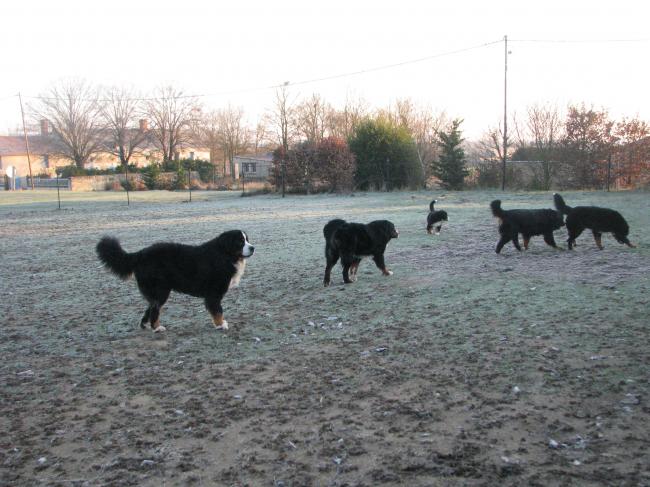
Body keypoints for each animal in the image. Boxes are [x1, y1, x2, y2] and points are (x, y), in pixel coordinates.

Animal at [96, 232, 253, 332]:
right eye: (240, 242)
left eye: (247, 239)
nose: (253, 247)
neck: (224, 255)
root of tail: (140, 254)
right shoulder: (213, 293)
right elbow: (218, 311)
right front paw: (220, 325)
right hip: (161, 291)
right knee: (155, 310)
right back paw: (157, 328)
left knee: (150, 308)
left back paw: (146, 325)